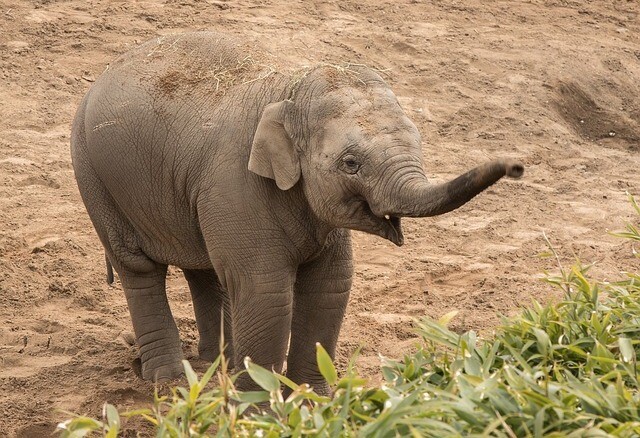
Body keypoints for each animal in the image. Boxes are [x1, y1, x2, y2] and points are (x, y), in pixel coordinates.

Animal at [70, 30, 524, 394]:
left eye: (418, 139)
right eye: (351, 163)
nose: (518, 166)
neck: (289, 89)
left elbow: (330, 286)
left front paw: (315, 400)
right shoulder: (237, 184)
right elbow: (264, 290)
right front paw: (260, 408)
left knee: (205, 270)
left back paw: (218, 363)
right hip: (93, 173)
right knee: (139, 268)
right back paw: (169, 381)